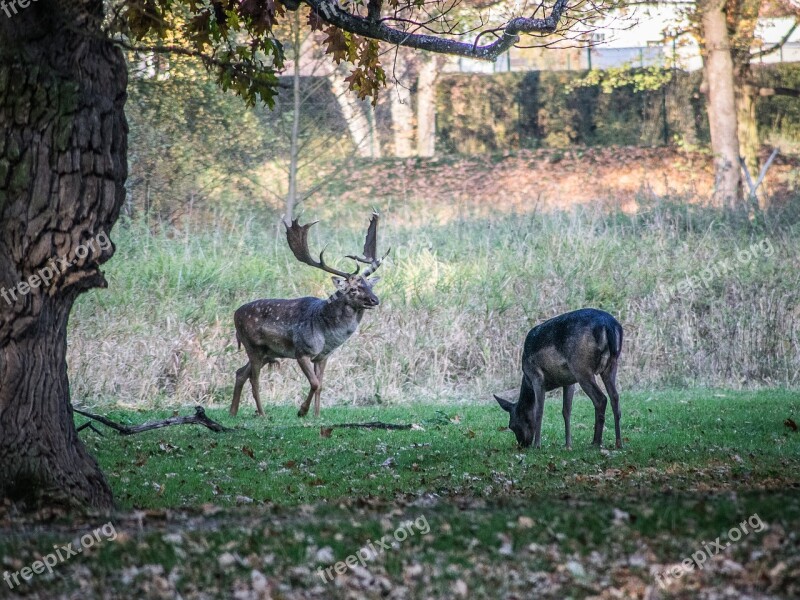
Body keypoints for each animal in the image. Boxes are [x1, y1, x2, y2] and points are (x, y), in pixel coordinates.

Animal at [228, 214, 388, 418]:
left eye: (369, 285)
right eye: (353, 289)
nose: (375, 300)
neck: (327, 333)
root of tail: (235, 314)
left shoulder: (323, 356)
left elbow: (321, 385)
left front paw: (317, 415)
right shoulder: (302, 351)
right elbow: (315, 383)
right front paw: (302, 411)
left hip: (267, 352)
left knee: (240, 372)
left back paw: (232, 412)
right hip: (253, 346)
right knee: (254, 379)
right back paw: (262, 414)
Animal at [494, 310, 624, 446]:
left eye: (512, 425)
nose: (523, 444)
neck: (527, 379)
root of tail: (608, 325)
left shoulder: (536, 376)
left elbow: (539, 410)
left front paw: (537, 445)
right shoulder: (569, 381)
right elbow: (566, 411)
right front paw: (568, 445)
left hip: (581, 367)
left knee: (601, 399)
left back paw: (596, 442)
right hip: (611, 364)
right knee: (615, 397)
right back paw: (618, 443)